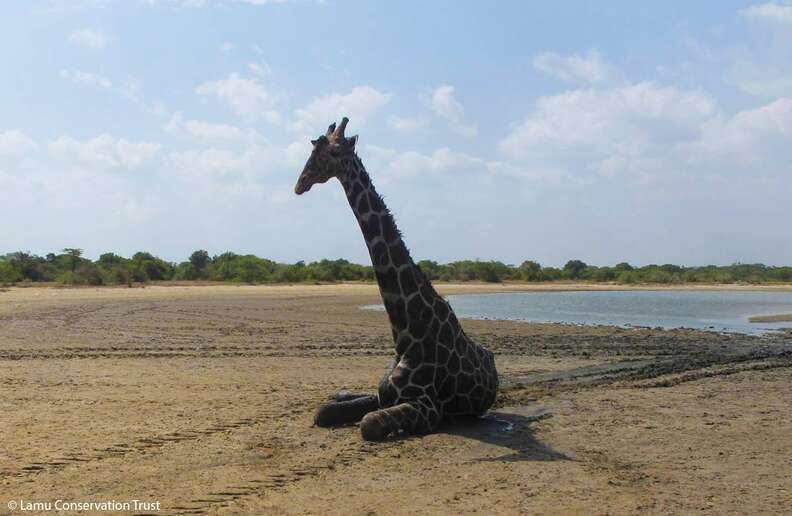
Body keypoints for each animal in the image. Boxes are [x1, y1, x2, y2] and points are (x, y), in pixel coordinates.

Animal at [294, 119, 498, 442]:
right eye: (313, 148)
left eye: (335, 151)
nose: (300, 183)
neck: (406, 333)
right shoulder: (382, 394)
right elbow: (323, 411)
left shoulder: (428, 407)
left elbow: (368, 424)